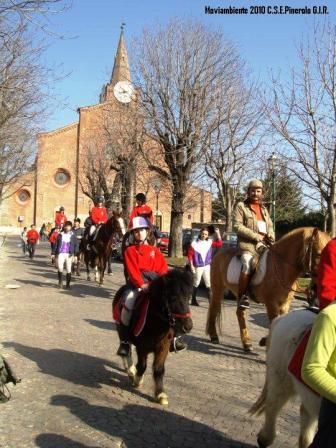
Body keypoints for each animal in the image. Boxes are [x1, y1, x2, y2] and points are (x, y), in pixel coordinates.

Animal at [112, 268, 193, 408]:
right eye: (172, 297)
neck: (155, 324)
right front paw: (138, 380)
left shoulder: (163, 348)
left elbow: (159, 369)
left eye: (188, 297)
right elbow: (142, 365)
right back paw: (131, 370)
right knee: (126, 348)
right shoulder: (142, 347)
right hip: (120, 329)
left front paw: (160, 394)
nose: (188, 326)